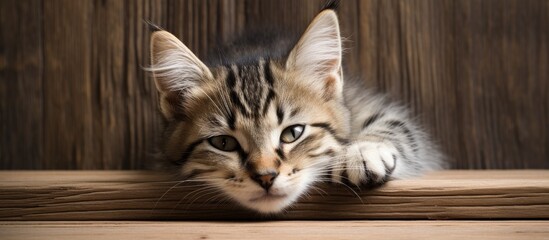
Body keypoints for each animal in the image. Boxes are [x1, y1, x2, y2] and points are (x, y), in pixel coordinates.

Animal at [148, 4, 444, 213]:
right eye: (223, 143)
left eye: (293, 133)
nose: (266, 177)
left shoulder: (367, 104)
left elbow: (397, 125)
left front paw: (361, 151)